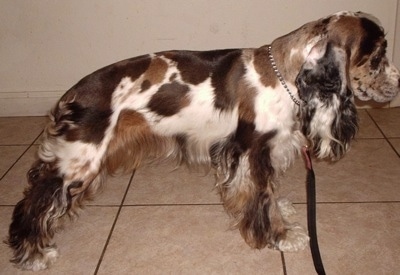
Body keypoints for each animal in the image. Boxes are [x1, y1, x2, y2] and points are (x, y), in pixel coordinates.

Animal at [7, 11, 400, 272]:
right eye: (378, 55)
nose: (398, 83)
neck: (285, 74)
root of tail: (70, 95)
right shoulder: (253, 150)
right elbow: (263, 198)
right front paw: (280, 236)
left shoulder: (256, 152)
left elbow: (261, 194)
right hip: (81, 161)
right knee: (34, 203)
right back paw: (33, 254)